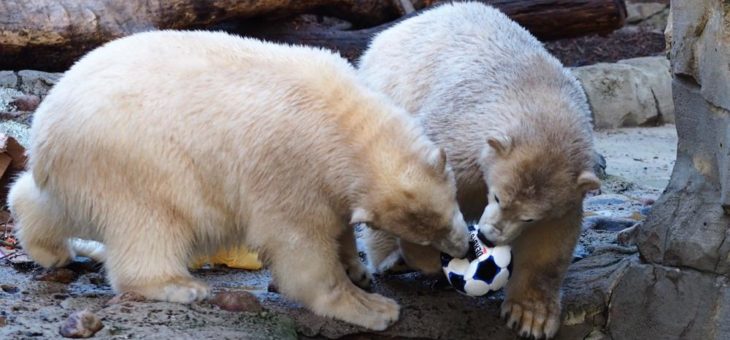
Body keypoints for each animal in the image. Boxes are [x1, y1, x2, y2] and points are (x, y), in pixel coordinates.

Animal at [8, 29, 466, 332]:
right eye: (428, 235)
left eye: (451, 210)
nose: (464, 247)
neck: (346, 120)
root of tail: (46, 129)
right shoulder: (290, 168)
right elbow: (300, 248)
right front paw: (371, 307)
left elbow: (337, 223)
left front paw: (357, 269)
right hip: (135, 162)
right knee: (151, 225)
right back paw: (179, 286)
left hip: (81, 170)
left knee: (50, 202)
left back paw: (50, 248)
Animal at [356, 1, 600, 338]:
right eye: (497, 197)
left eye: (528, 216)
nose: (488, 235)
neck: (535, 88)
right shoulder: (457, 138)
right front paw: (429, 256)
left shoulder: (564, 192)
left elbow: (550, 239)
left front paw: (530, 317)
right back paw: (391, 260)